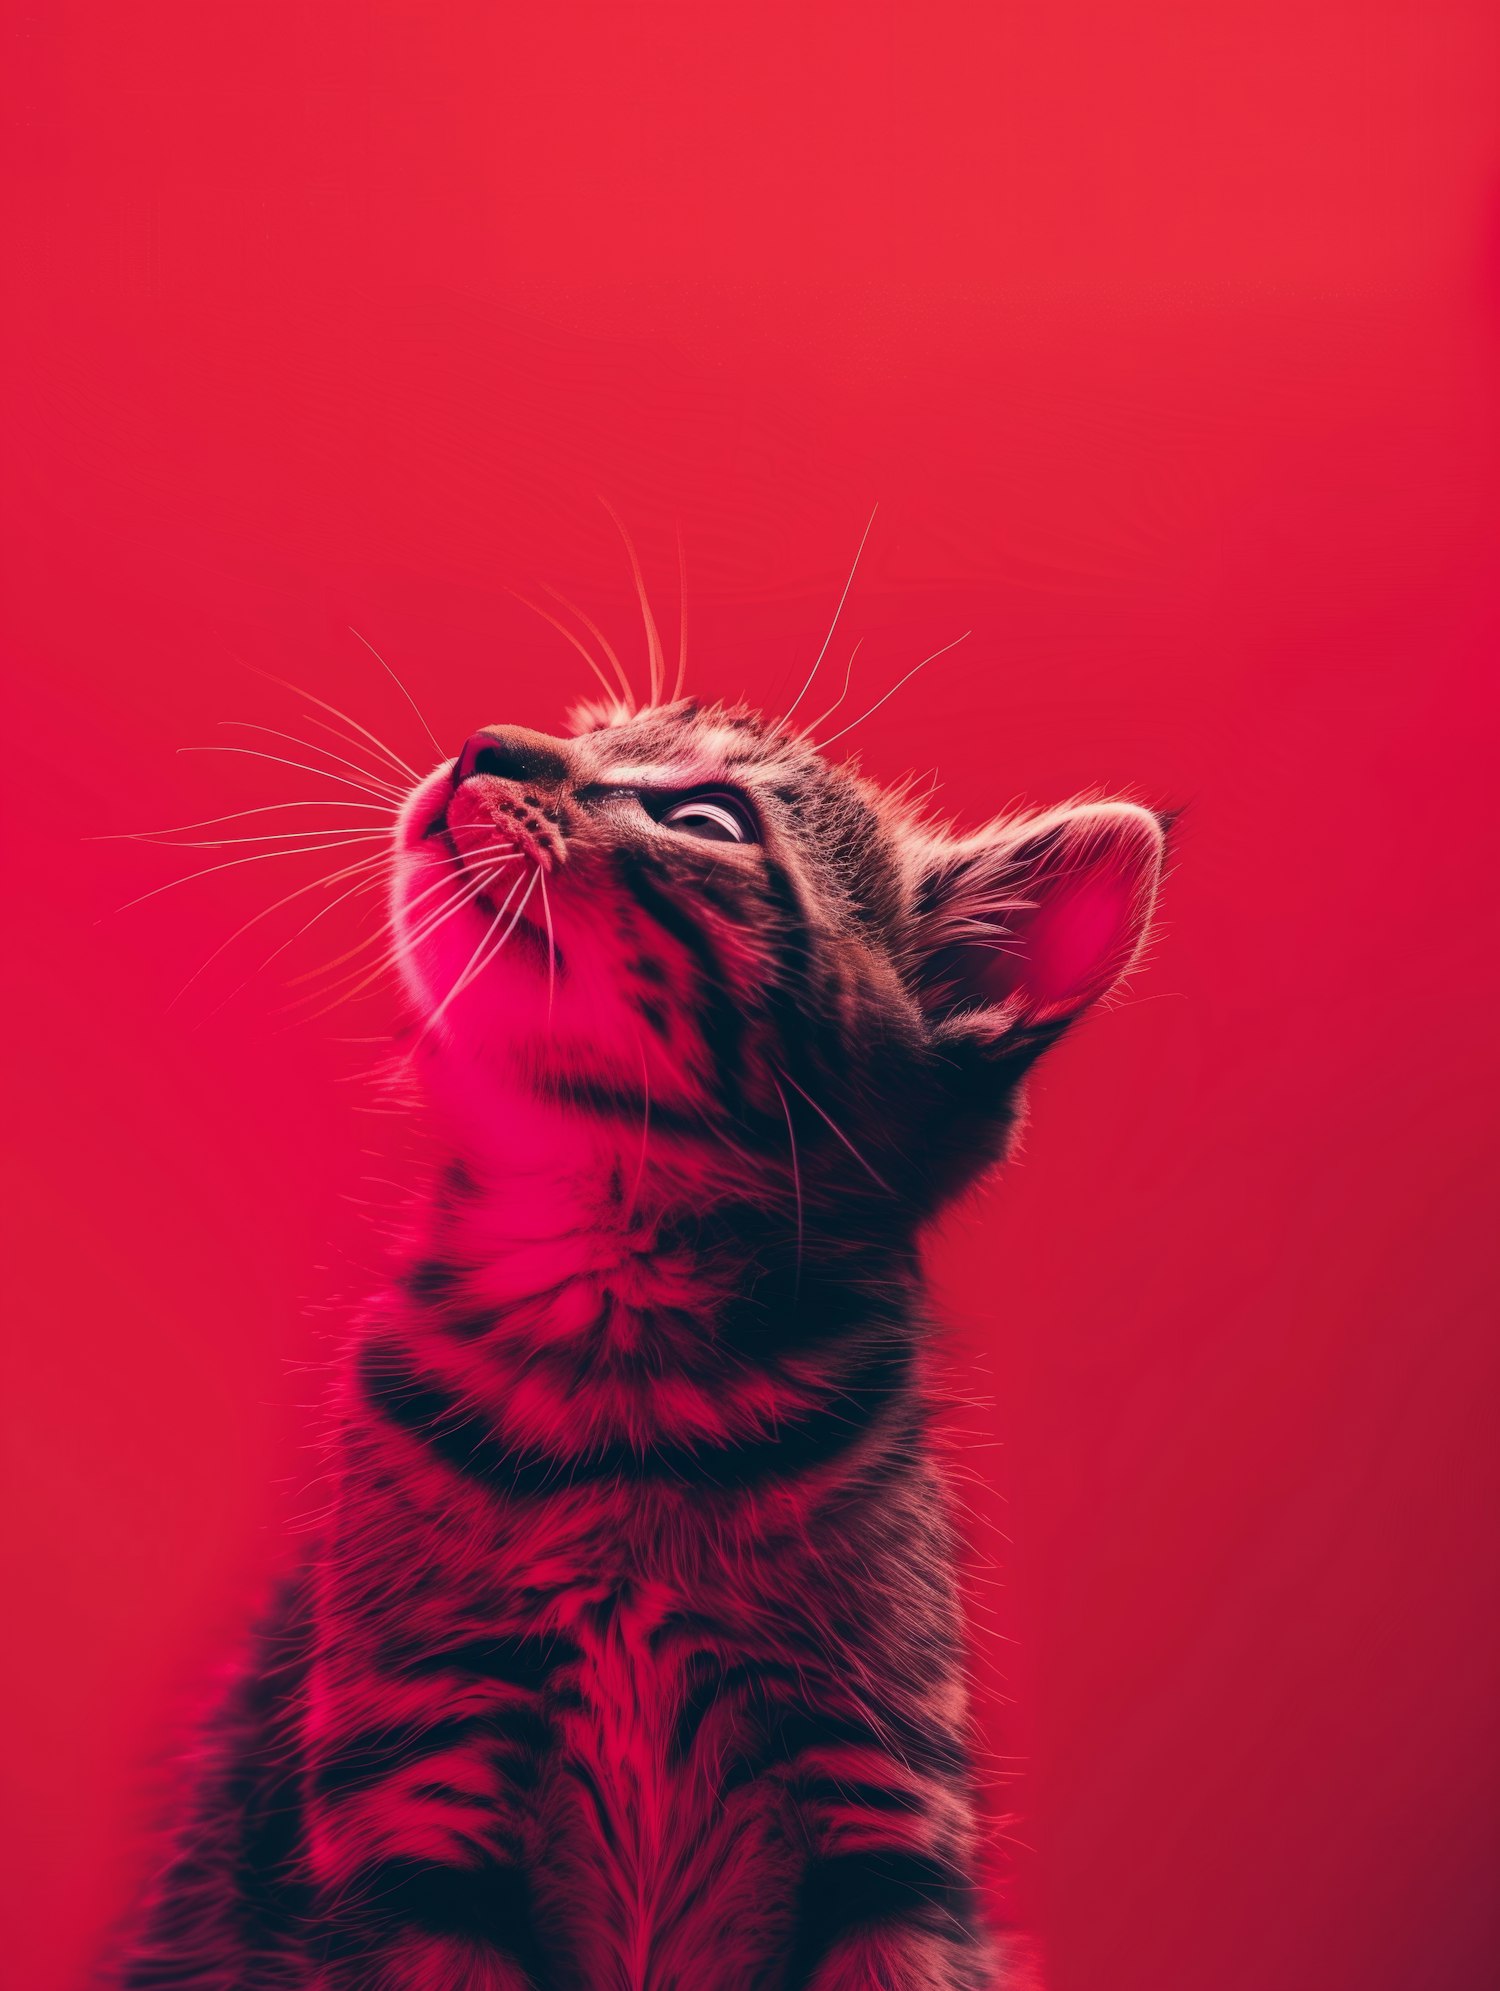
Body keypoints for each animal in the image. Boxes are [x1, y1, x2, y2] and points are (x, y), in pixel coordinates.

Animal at [120, 688, 1171, 1991]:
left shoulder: (891, 1822)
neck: (629, 1393)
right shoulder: (407, 1801)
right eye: (586, 728)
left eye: (707, 818)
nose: (487, 743)